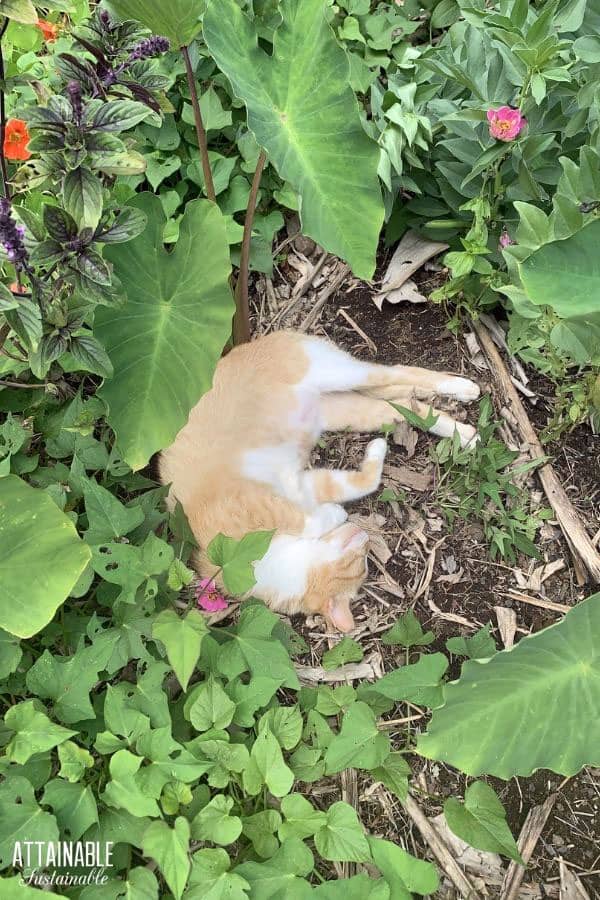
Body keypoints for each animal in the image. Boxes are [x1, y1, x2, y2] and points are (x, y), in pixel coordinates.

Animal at [158, 330, 478, 632]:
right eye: (362, 563)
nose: (364, 538)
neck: (253, 562)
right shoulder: (303, 485)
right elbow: (357, 487)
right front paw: (347, 495)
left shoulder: (266, 500)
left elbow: (309, 519)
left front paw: (335, 511)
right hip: (351, 412)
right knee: (404, 404)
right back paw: (465, 435)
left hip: (338, 372)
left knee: (398, 373)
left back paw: (464, 389)